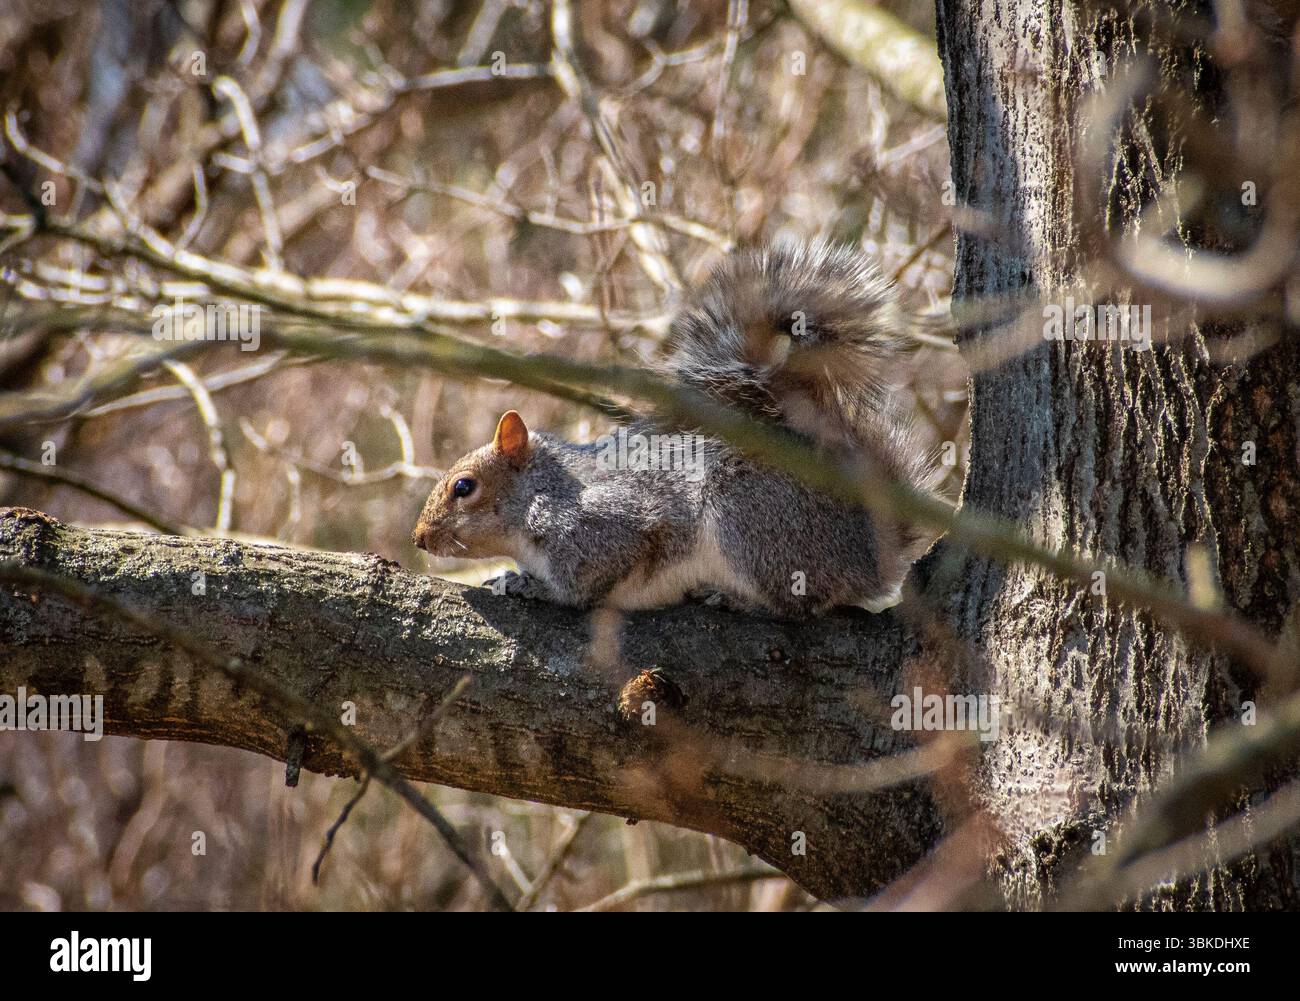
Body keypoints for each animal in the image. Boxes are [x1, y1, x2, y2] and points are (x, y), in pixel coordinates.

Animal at [412, 240, 940, 617]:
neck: (540, 494)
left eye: (464, 487)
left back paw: (737, 599)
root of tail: (867, 555)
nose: (418, 539)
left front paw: (533, 588)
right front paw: (509, 577)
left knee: (802, 605)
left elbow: (584, 585)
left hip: (751, 523)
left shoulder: (605, 526)